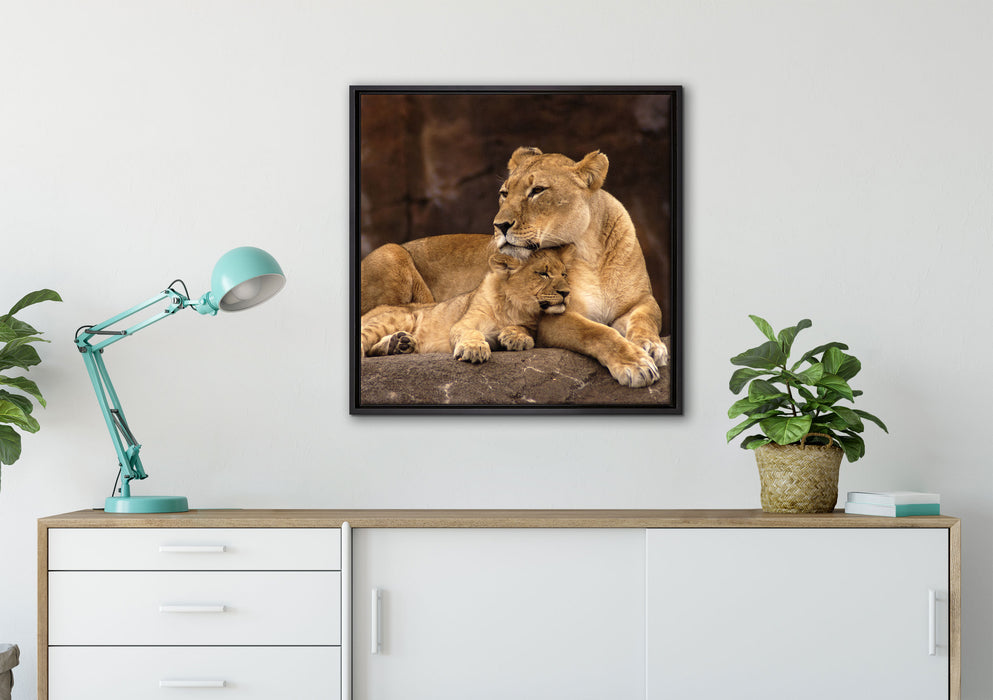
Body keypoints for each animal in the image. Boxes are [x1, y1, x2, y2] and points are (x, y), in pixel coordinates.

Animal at [361, 248, 570, 364]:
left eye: (564, 274)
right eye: (543, 274)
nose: (567, 293)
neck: (514, 307)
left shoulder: (530, 324)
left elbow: (523, 329)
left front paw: (516, 337)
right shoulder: (464, 322)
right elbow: (471, 333)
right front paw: (475, 349)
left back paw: (400, 344)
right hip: (401, 316)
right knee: (365, 339)